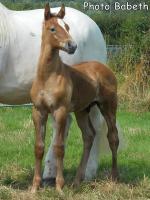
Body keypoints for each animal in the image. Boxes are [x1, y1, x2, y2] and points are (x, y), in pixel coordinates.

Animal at [0, 2, 119, 185]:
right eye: (52, 29)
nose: (72, 45)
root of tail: (94, 26)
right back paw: (53, 174)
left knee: (97, 128)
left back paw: (87, 173)